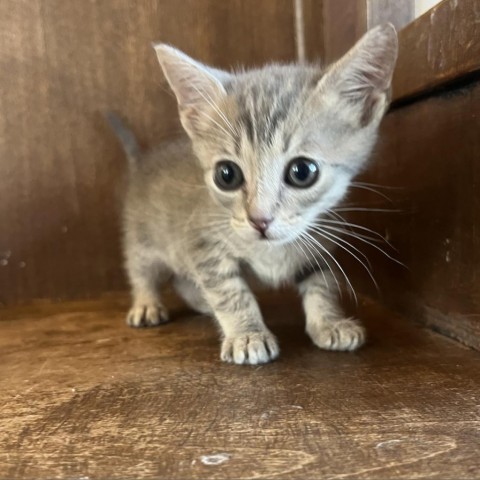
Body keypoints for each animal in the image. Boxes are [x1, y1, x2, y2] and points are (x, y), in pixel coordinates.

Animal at [109, 23, 398, 364]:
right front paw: (247, 334)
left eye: (303, 171)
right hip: (144, 238)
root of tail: (143, 159)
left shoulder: (320, 241)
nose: (260, 220)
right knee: (141, 270)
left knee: (181, 278)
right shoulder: (202, 244)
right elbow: (230, 291)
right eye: (227, 175)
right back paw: (146, 304)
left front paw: (329, 323)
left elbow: (322, 284)